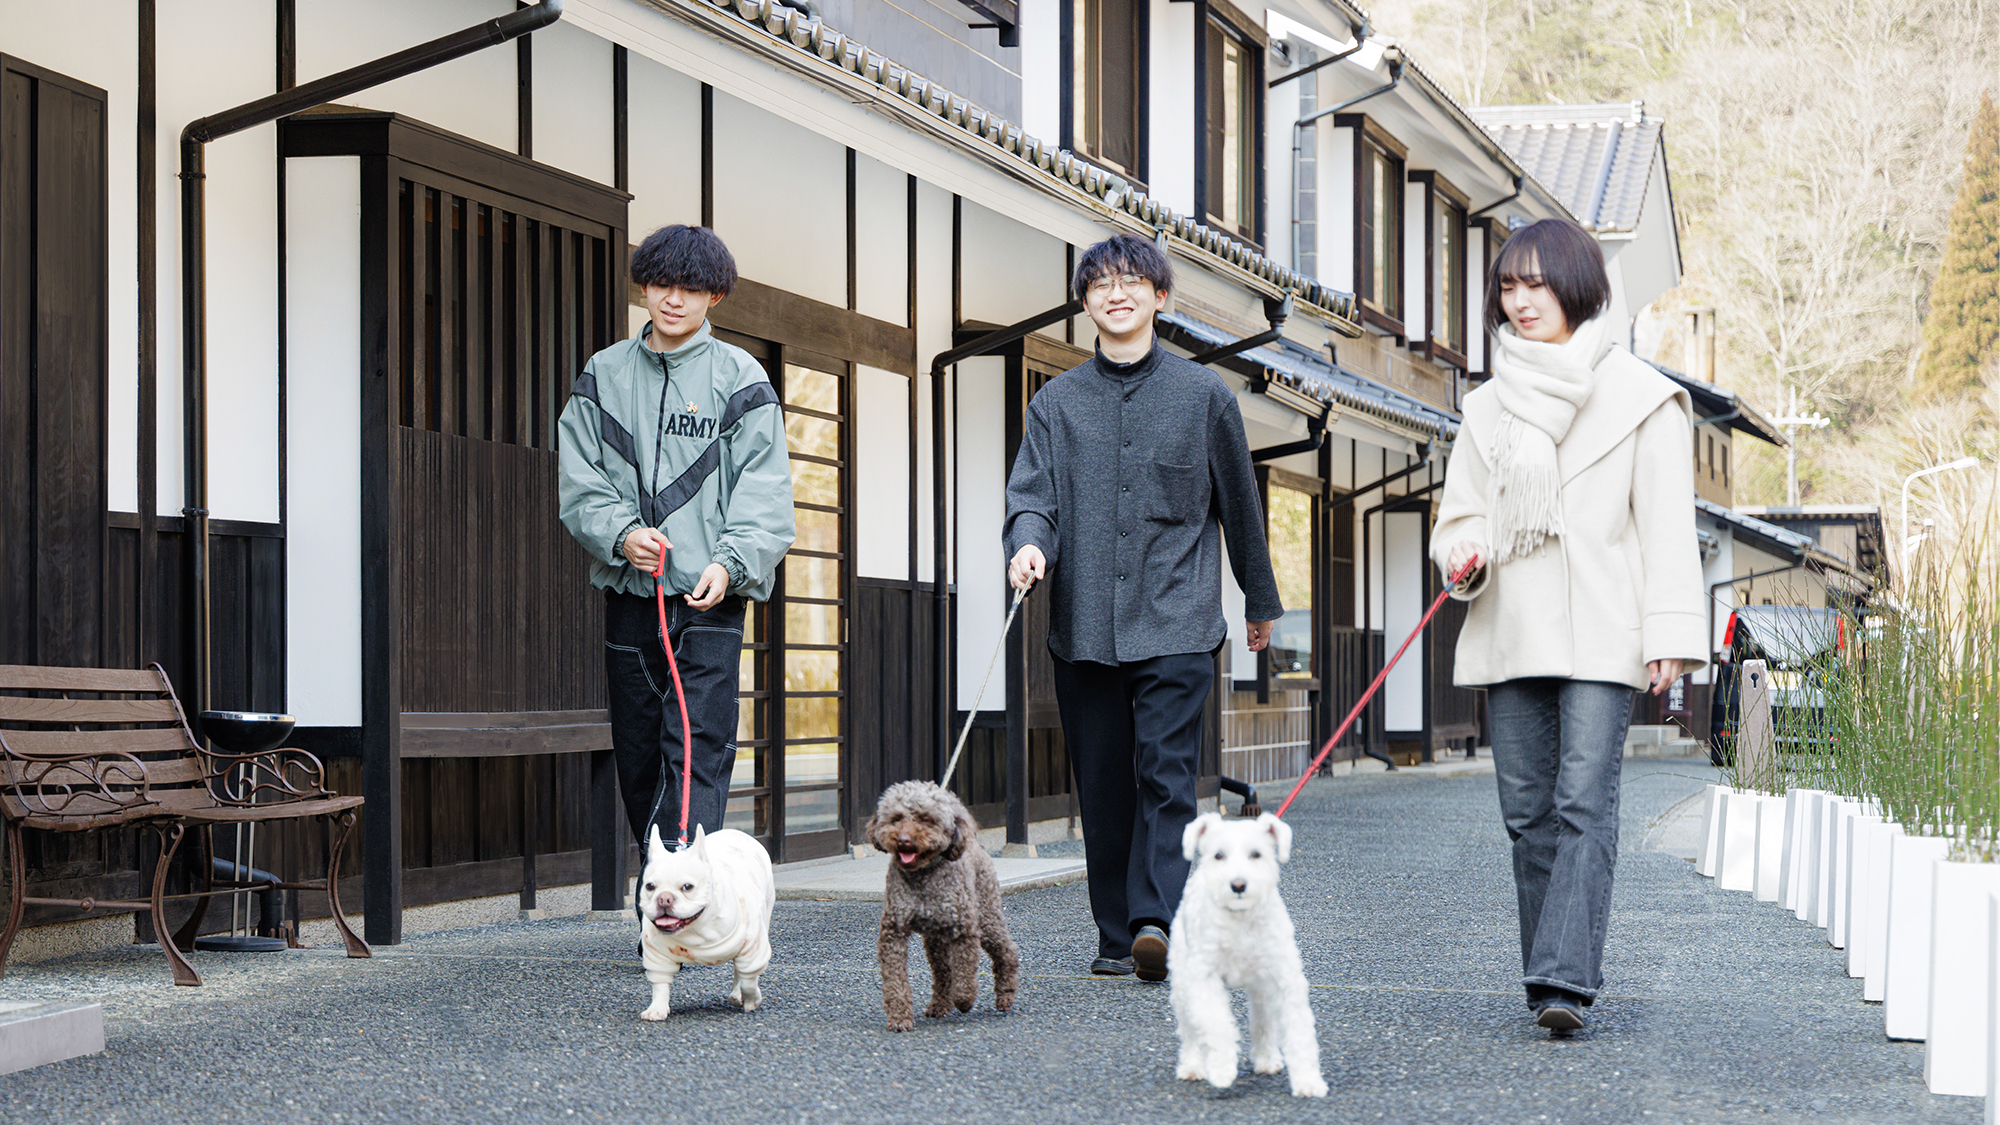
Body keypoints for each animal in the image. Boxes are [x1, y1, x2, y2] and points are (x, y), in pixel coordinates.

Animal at [1168, 808, 1320, 1088]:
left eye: (1256, 854)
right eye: (1219, 855)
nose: (1238, 885)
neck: (1239, 919)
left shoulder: (1283, 979)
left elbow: (1298, 1031)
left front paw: (1309, 1082)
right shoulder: (1204, 979)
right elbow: (1217, 1025)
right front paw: (1221, 1069)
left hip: (1262, 988)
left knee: (1263, 1023)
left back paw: (1267, 1059)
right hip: (1183, 983)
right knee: (1190, 1030)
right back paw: (1193, 1066)